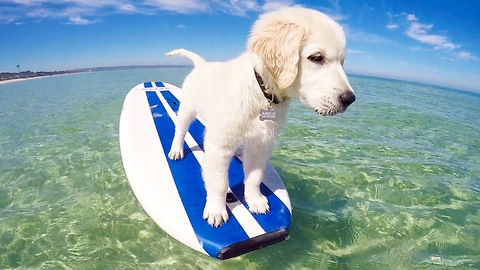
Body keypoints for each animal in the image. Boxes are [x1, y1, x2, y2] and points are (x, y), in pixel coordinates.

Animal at [167, 6, 354, 227]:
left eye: (342, 62)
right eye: (316, 57)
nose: (350, 99)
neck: (262, 91)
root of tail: (202, 65)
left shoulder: (262, 144)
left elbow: (255, 177)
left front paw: (255, 201)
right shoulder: (219, 145)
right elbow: (218, 182)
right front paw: (216, 210)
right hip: (188, 108)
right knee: (180, 129)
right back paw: (176, 150)